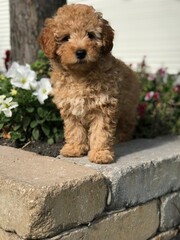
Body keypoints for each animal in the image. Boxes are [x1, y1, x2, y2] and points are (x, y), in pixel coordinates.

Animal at [39, 3, 141, 164]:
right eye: (66, 38)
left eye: (91, 35)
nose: (81, 52)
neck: (80, 75)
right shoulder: (70, 107)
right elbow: (74, 130)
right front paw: (74, 149)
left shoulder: (104, 106)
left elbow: (101, 132)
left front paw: (100, 153)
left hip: (127, 108)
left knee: (128, 124)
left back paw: (121, 137)